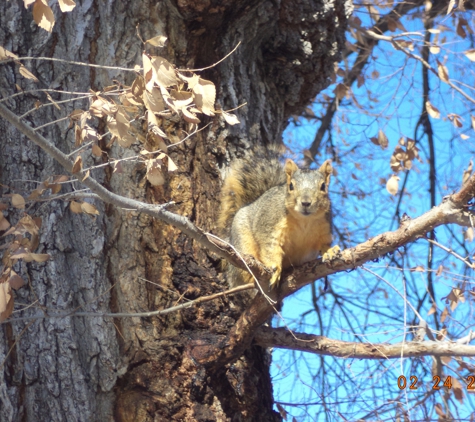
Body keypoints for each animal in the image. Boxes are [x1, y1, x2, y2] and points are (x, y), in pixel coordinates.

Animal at [218, 152, 340, 290]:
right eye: (291, 186)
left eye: (323, 186)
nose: (305, 203)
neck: (304, 220)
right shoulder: (270, 225)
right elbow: (270, 248)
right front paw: (274, 269)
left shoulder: (325, 227)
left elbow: (323, 243)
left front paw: (329, 251)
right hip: (242, 242)